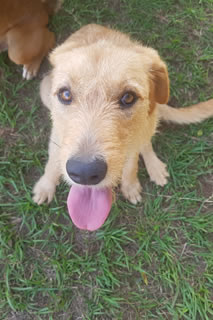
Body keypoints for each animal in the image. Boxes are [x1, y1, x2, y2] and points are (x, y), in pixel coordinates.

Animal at [32, 24, 213, 230]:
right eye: (66, 94)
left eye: (128, 97)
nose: (85, 173)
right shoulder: (57, 137)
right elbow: (52, 162)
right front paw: (45, 186)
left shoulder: (133, 143)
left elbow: (132, 164)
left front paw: (130, 185)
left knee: (146, 142)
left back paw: (154, 167)